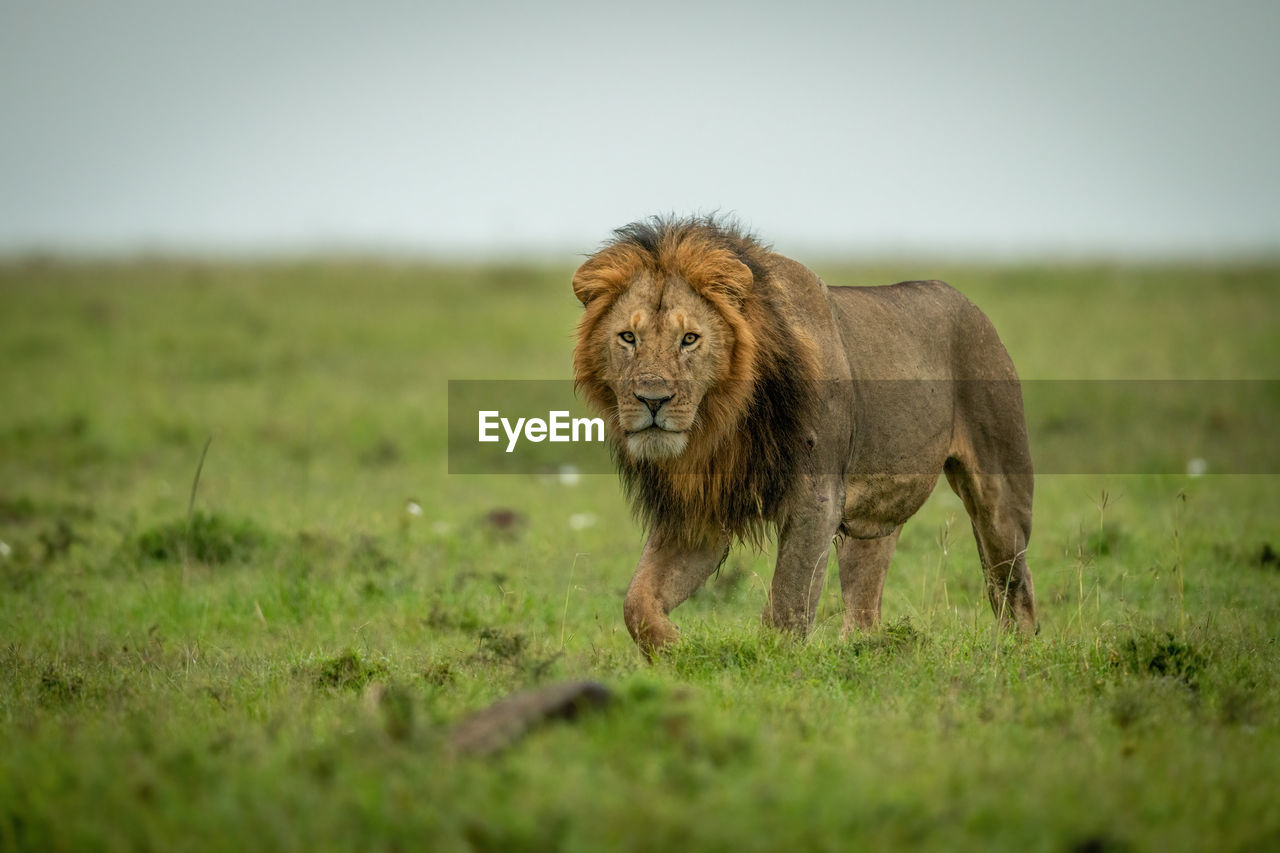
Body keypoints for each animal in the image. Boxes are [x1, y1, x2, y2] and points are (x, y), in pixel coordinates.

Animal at [576, 213, 1034, 650]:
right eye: (628, 337)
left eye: (689, 339)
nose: (652, 400)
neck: (726, 425)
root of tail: (968, 303)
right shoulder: (702, 511)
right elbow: (637, 602)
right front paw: (677, 649)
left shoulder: (817, 498)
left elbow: (788, 603)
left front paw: (773, 663)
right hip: (873, 515)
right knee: (866, 600)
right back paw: (866, 651)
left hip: (1001, 493)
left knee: (1014, 583)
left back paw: (1018, 650)